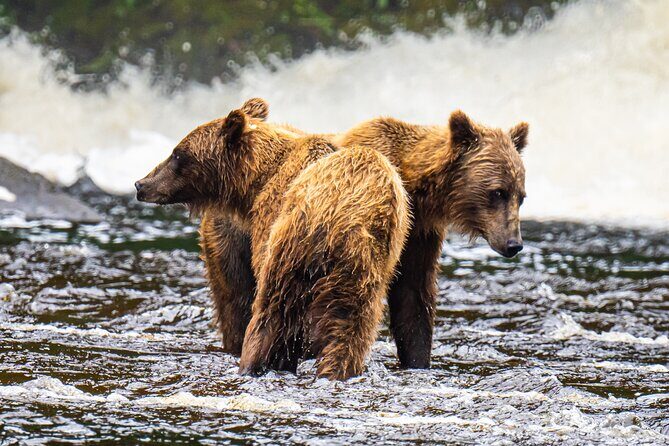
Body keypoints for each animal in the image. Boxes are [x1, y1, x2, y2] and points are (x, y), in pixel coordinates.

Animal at [135, 102, 410, 380]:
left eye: (177, 154)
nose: (141, 184)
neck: (256, 182)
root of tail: (348, 218)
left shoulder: (268, 219)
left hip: (292, 250)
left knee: (272, 311)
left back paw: (252, 362)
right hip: (364, 273)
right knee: (349, 327)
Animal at [197, 101, 529, 369]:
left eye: (521, 196)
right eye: (497, 192)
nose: (514, 243)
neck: (416, 186)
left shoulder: (418, 234)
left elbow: (413, 298)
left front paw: (418, 360)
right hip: (234, 241)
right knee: (239, 302)